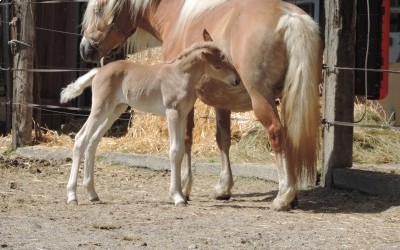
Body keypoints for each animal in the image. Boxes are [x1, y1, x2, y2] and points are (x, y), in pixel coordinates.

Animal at [60, 35, 241, 207]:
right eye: (217, 66)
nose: (236, 80)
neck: (180, 76)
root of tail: (98, 71)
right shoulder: (172, 112)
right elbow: (175, 150)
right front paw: (177, 197)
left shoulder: (183, 115)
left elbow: (182, 150)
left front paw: (181, 194)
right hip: (101, 108)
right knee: (81, 139)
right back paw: (72, 196)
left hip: (114, 110)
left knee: (93, 142)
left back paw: (92, 194)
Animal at [79, 0, 324, 211]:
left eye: (98, 9)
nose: (85, 49)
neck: (177, 17)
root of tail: (290, 18)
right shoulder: (222, 100)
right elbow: (223, 139)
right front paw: (223, 188)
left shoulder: (184, 104)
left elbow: (185, 140)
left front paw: (184, 187)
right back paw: (293, 196)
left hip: (262, 99)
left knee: (276, 133)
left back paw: (284, 196)